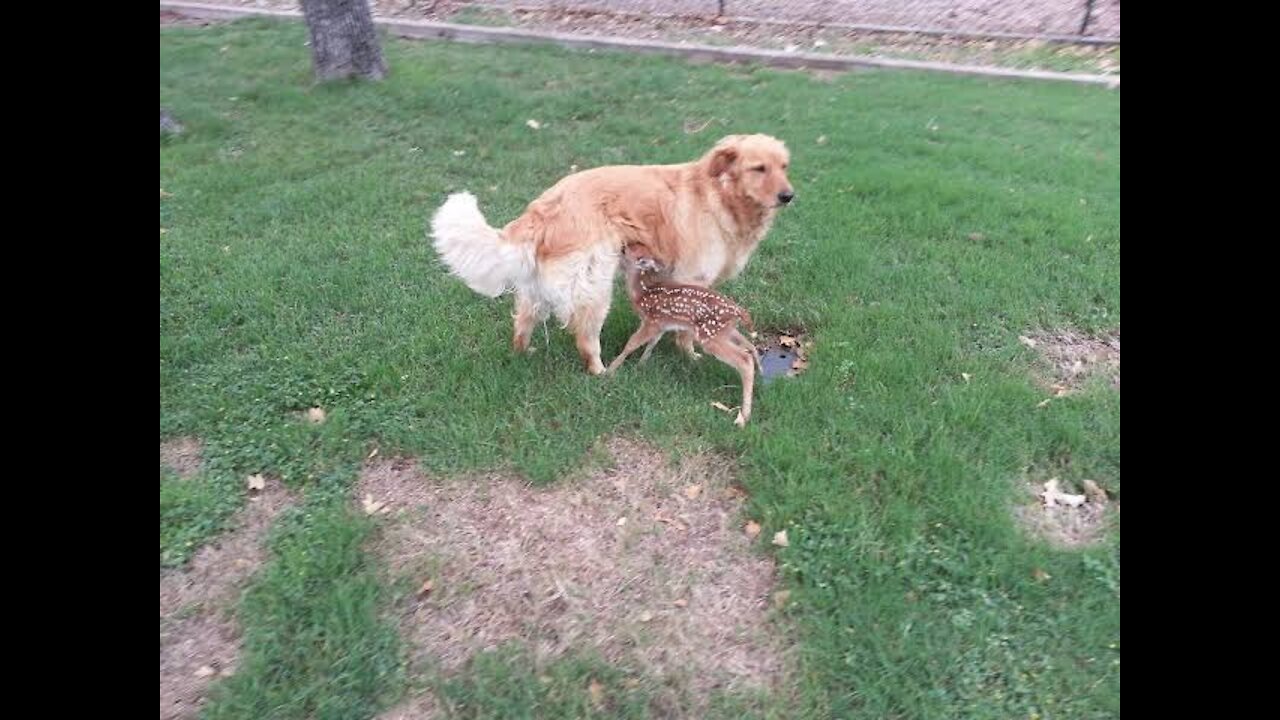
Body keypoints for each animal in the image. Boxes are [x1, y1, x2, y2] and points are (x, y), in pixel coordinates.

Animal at [430, 132, 788, 376]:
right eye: (758, 169)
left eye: (784, 167)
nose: (789, 196)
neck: (719, 194)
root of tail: (543, 207)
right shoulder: (693, 278)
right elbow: (686, 331)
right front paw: (690, 356)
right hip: (595, 286)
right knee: (585, 340)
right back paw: (603, 373)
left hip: (536, 290)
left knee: (522, 323)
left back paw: (524, 354)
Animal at [609, 248, 757, 425]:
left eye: (626, 251)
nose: (618, 249)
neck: (641, 294)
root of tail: (738, 311)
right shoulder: (661, 325)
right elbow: (652, 343)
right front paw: (641, 364)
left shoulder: (651, 322)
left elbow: (631, 343)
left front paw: (610, 370)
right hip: (725, 331)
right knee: (749, 345)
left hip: (710, 335)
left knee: (744, 360)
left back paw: (743, 417)